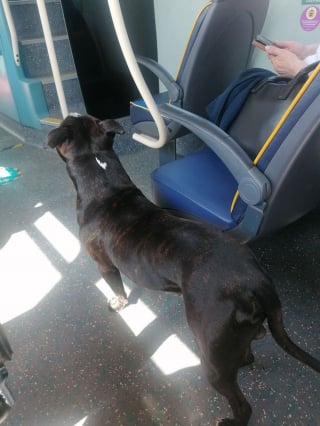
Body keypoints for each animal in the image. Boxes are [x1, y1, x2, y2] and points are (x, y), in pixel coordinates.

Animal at [45, 115, 320, 424]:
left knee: (241, 403)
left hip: (211, 356)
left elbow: (116, 287)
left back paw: (233, 418)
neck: (101, 173)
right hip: (236, 336)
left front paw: (118, 303)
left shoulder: (105, 265)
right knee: (248, 351)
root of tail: (257, 281)